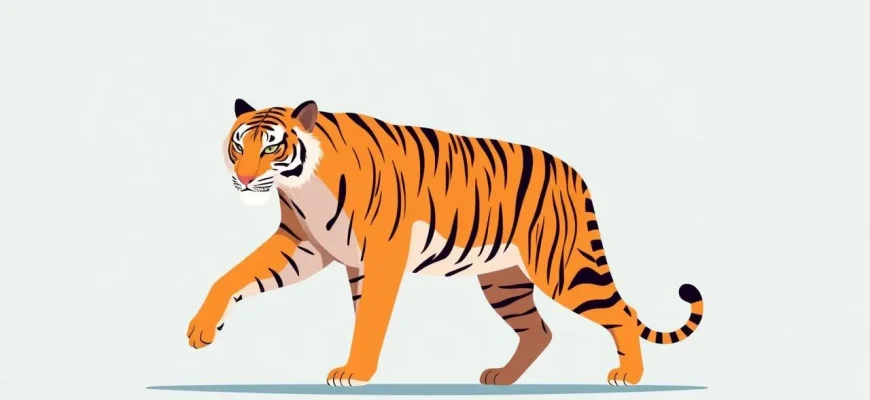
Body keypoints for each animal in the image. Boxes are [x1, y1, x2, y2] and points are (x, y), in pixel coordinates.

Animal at [187, 98, 705, 387]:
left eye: (272, 145)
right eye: (239, 143)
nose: (243, 178)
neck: (303, 184)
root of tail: (573, 174)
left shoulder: (381, 254)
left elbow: (369, 318)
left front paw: (355, 371)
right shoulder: (305, 246)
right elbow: (231, 276)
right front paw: (201, 330)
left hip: (562, 266)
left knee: (620, 314)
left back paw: (629, 376)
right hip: (504, 280)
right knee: (539, 330)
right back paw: (502, 378)